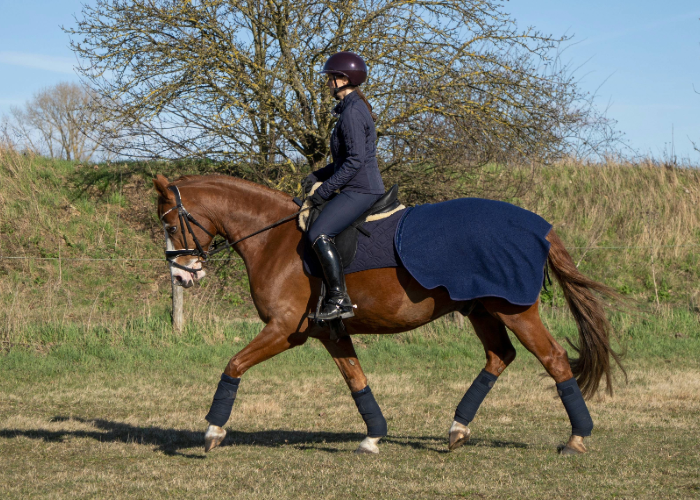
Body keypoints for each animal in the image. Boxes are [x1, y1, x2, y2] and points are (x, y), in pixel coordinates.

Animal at [153, 173, 623, 456]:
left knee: (554, 360)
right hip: (482, 310)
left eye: (170, 224)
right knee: (499, 357)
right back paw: (457, 429)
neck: (274, 239)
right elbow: (357, 381)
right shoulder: (330, 332)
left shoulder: (285, 329)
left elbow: (233, 364)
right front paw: (373, 435)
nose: (182, 275)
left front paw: (213, 431)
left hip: (516, 312)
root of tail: (538, 226)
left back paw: (576, 439)